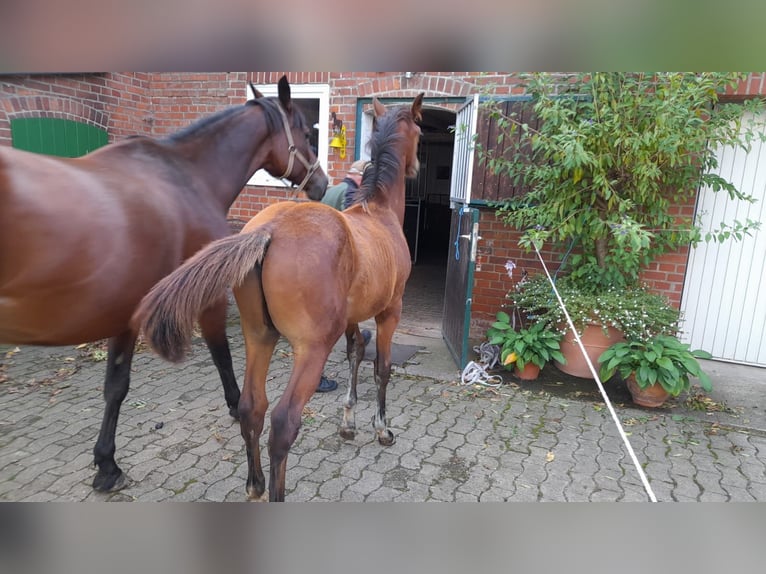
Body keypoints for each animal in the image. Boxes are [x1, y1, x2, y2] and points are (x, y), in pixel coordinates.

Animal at [0, 74, 328, 492]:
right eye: (306, 131)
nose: (321, 184)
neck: (189, 178)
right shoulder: (208, 300)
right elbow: (221, 357)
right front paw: (236, 407)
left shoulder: (125, 313)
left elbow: (115, 386)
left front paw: (106, 463)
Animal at [138, 93, 426, 500]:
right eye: (420, 132)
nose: (416, 166)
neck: (378, 212)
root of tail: (270, 230)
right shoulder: (390, 312)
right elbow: (381, 369)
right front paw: (381, 428)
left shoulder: (354, 318)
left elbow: (356, 352)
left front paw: (348, 422)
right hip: (310, 349)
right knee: (283, 422)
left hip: (259, 337)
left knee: (251, 408)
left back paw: (255, 484)